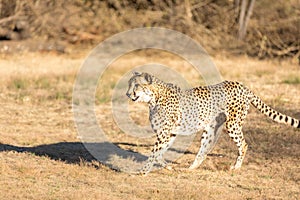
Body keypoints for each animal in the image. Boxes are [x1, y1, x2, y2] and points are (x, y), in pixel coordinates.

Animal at [125, 71, 298, 173]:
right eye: (129, 84)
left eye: (136, 85)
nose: (127, 94)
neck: (154, 98)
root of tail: (241, 85)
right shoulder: (170, 133)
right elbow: (159, 153)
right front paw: (166, 165)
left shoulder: (165, 132)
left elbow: (154, 152)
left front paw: (142, 171)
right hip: (210, 128)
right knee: (204, 150)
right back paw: (191, 168)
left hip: (232, 124)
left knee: (243, 144)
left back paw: (236, 167)